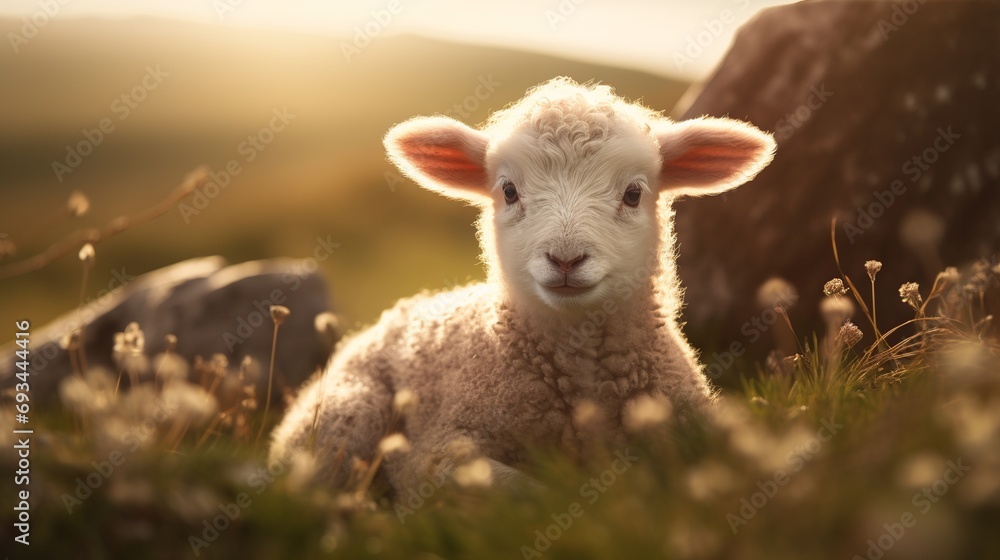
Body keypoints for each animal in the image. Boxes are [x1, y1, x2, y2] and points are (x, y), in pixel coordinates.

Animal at [270, 77, 775, 492]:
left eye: (633, 194)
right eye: (509, 191)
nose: (566, 259)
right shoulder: (435, 452)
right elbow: (527, 493)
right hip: (347, 414)